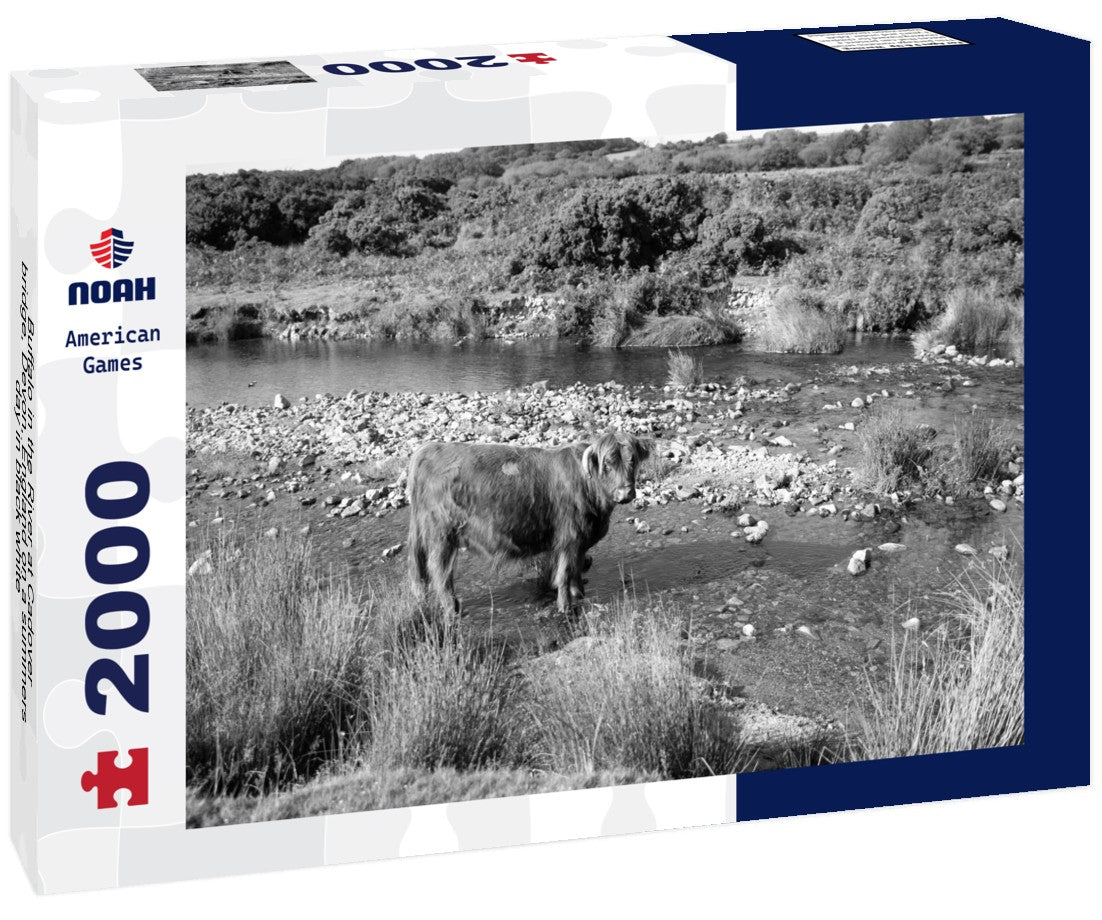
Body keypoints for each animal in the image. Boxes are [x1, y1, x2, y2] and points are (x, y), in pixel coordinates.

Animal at [407, 431, 651, 615]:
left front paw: (579, 595)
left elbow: (576, 571)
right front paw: (565, 607)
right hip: (441, 535)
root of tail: (428, 450)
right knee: (440, 572)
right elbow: (564, 574)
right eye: (607, 464)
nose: (625, 493)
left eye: (632, 461)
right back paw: (452, 609)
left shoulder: (579, 542)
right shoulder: (568, 539)